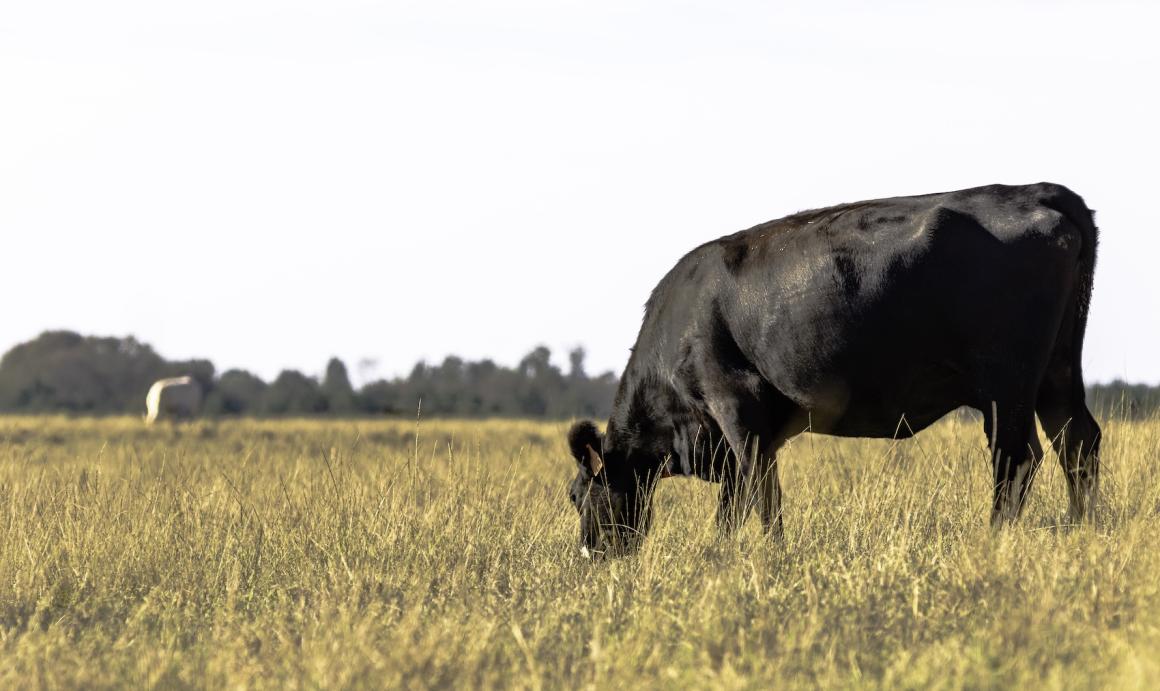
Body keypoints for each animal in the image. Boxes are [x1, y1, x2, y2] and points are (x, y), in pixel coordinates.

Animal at [566, 182, 1099, 556]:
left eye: (576, 497)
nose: (590, 556)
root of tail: (1037, 190)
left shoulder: (734, 403)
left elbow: (758, 491)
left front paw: (761, 553)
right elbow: (738, 496)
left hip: (1005, 385)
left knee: (1017, 457)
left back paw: (994, 537)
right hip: (1056, 374)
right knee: (1077, 440)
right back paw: (1082, 529)